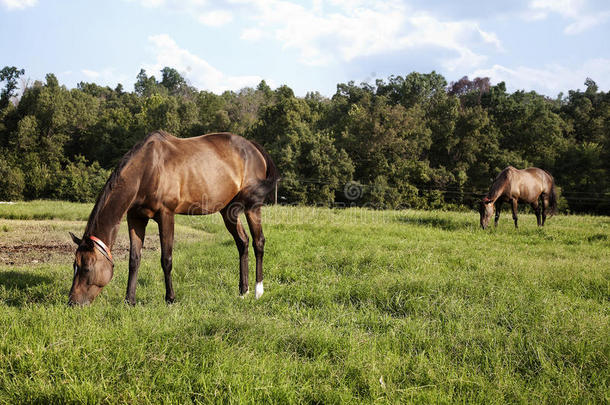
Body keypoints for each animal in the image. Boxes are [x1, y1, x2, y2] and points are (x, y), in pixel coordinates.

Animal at [67, 131, 278, 304]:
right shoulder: (135, 218)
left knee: (258, 242)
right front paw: (129, 300)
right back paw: (243, 291)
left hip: (252, 207)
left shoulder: (166, 215)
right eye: (74, 266)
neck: (147, 169)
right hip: (228, 210)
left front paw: (170, 298)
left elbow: (166, 259)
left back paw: (258, 291)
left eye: (86, 268)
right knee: (242, 242)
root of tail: (252, 146)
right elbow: (134, 259)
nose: (72, 302)